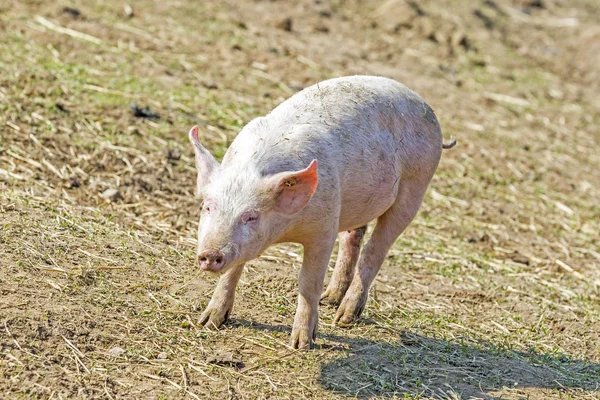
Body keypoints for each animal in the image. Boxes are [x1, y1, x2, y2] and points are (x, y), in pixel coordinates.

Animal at [190, 76, 458, 350]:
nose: (210, 254)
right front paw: (208, 322)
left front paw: (301, 344)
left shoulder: (324, 227)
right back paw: (329, 300)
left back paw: (344, 318)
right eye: (207, 207)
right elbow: (232, 271)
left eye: (251, 216)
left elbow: (308, 283)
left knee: (376, 249)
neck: (285, 230)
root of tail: (426, 107)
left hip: (416, 186)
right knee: (353, 237)